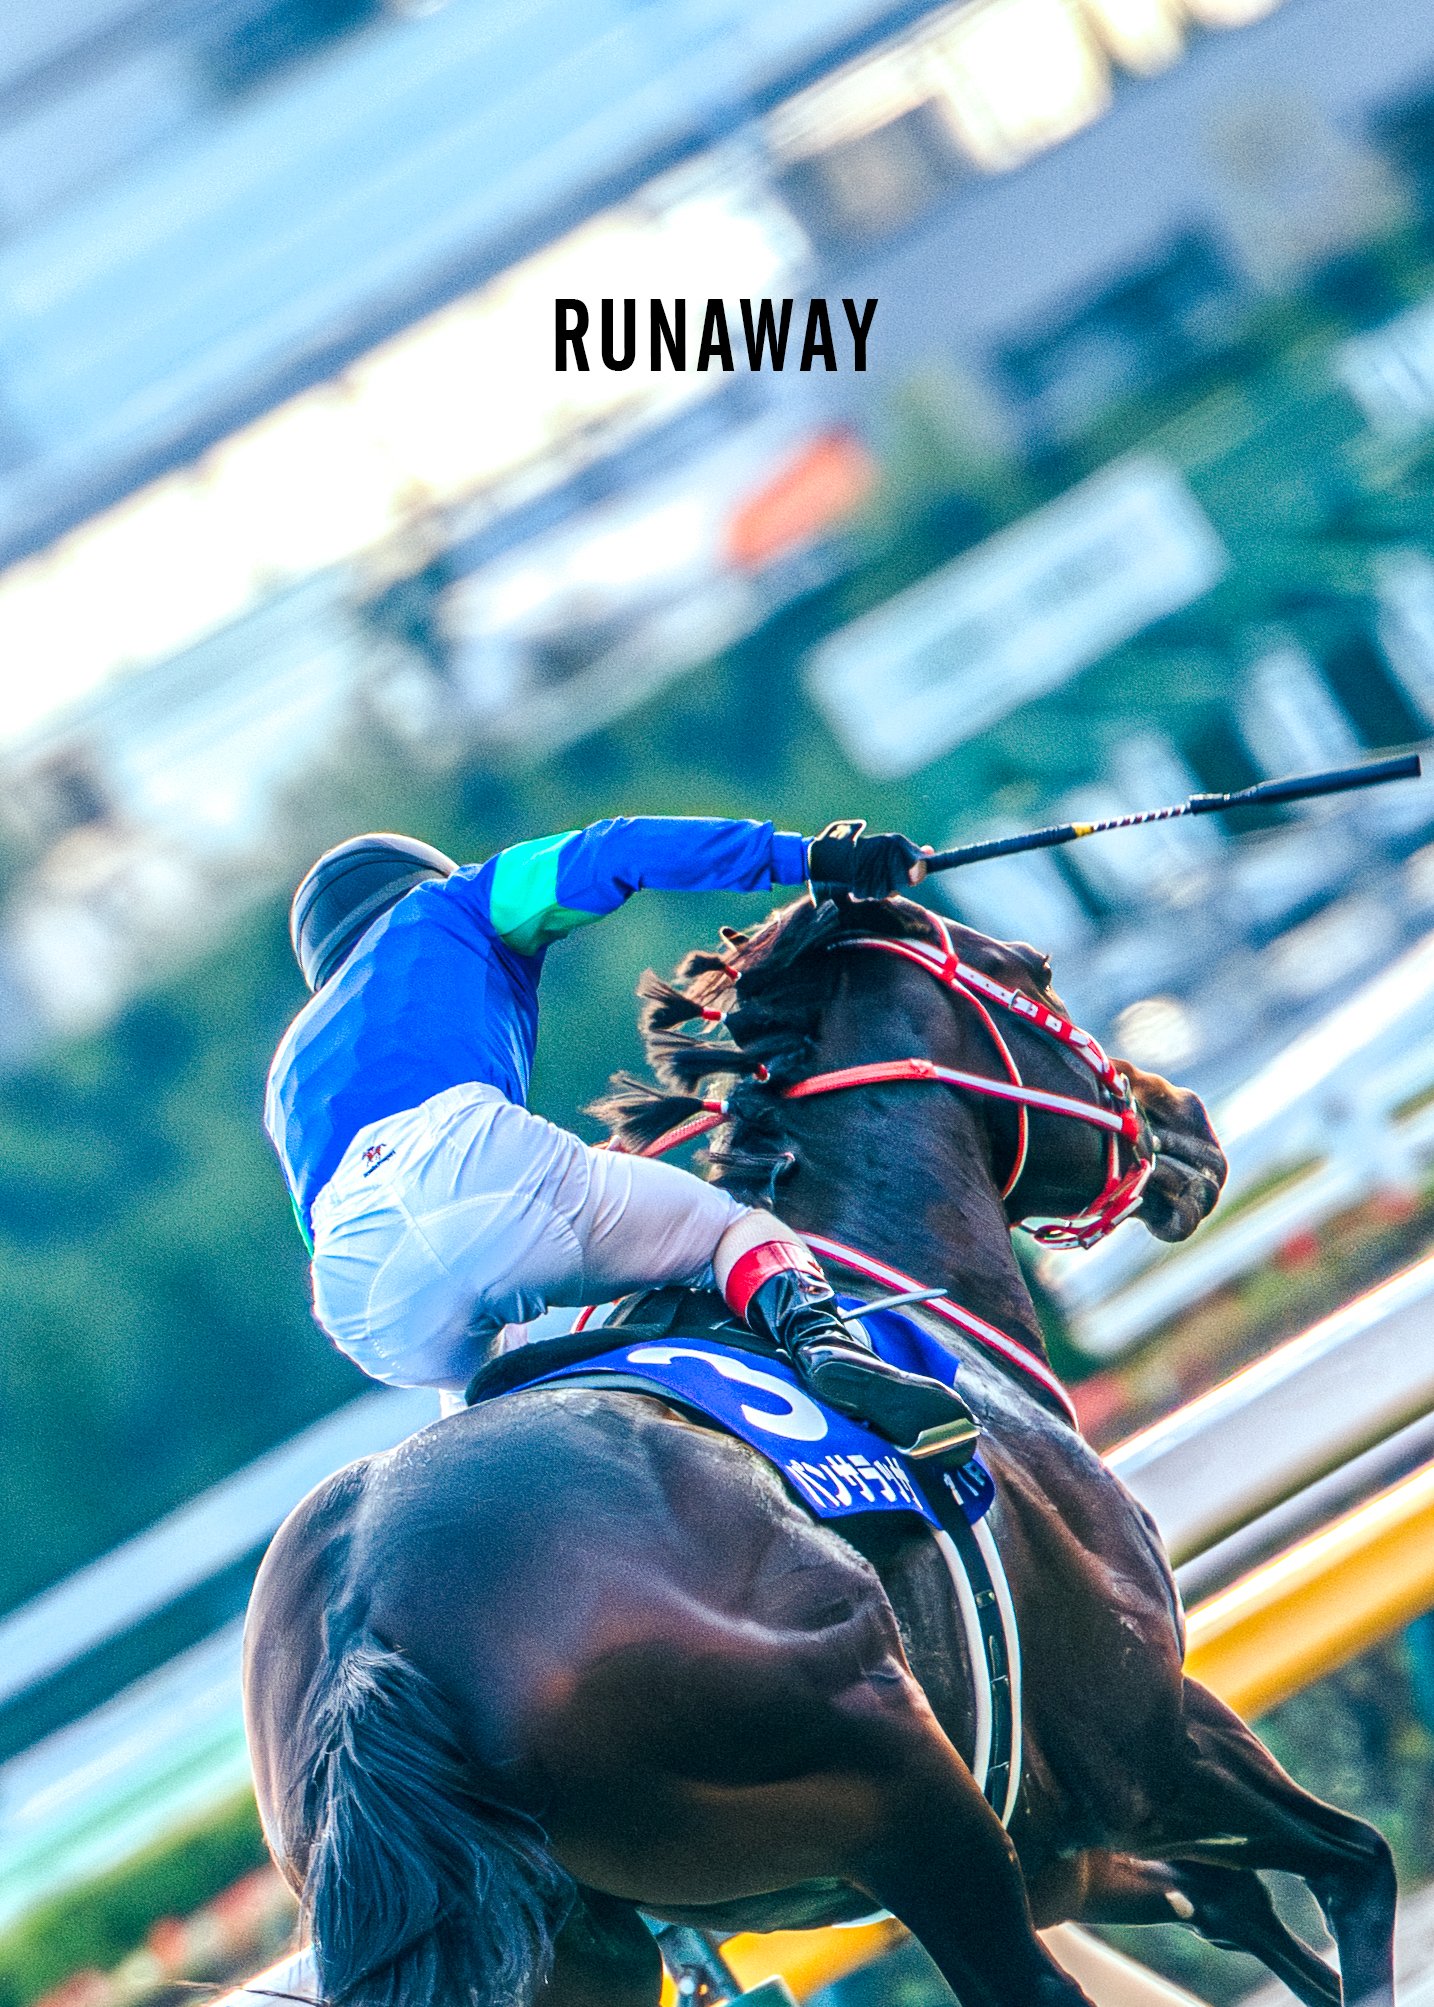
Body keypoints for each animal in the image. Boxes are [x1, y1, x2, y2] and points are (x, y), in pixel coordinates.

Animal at [242, 893, 1398, 2007]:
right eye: (1034, 973)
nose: (1184, 1118)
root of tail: (366, 1625)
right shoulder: (1142, 1746)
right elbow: (1355, 1865)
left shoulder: (1055, 1835)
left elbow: (1235, 1901)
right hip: (895, 1784)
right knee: (1027, 1980)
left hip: (578, 1942)